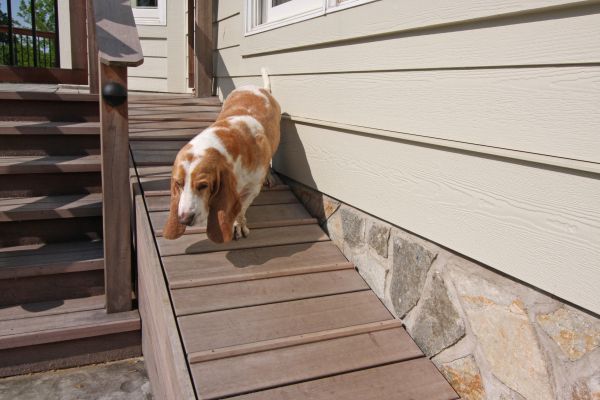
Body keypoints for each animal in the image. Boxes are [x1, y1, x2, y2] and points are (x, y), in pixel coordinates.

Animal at [161, 70, 280, 242]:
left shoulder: (252, 189)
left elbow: (241, 208)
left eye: (203, 186)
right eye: (178, 183)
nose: (184, 219)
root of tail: (260, 88)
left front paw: (239, 225)